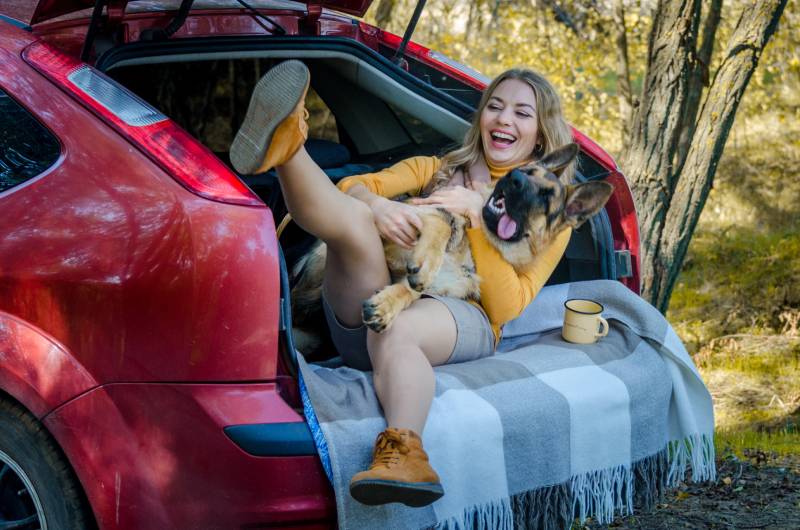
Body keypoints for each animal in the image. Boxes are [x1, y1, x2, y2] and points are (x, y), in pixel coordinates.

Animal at [294, 142, 612, 344]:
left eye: (546, 197)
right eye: (527, 172)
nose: (514, 177)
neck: (472, 246)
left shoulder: (439, 284)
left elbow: (413, 290)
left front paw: (387, 304)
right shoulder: (403, 225)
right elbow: (444, 222)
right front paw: (426, 262)